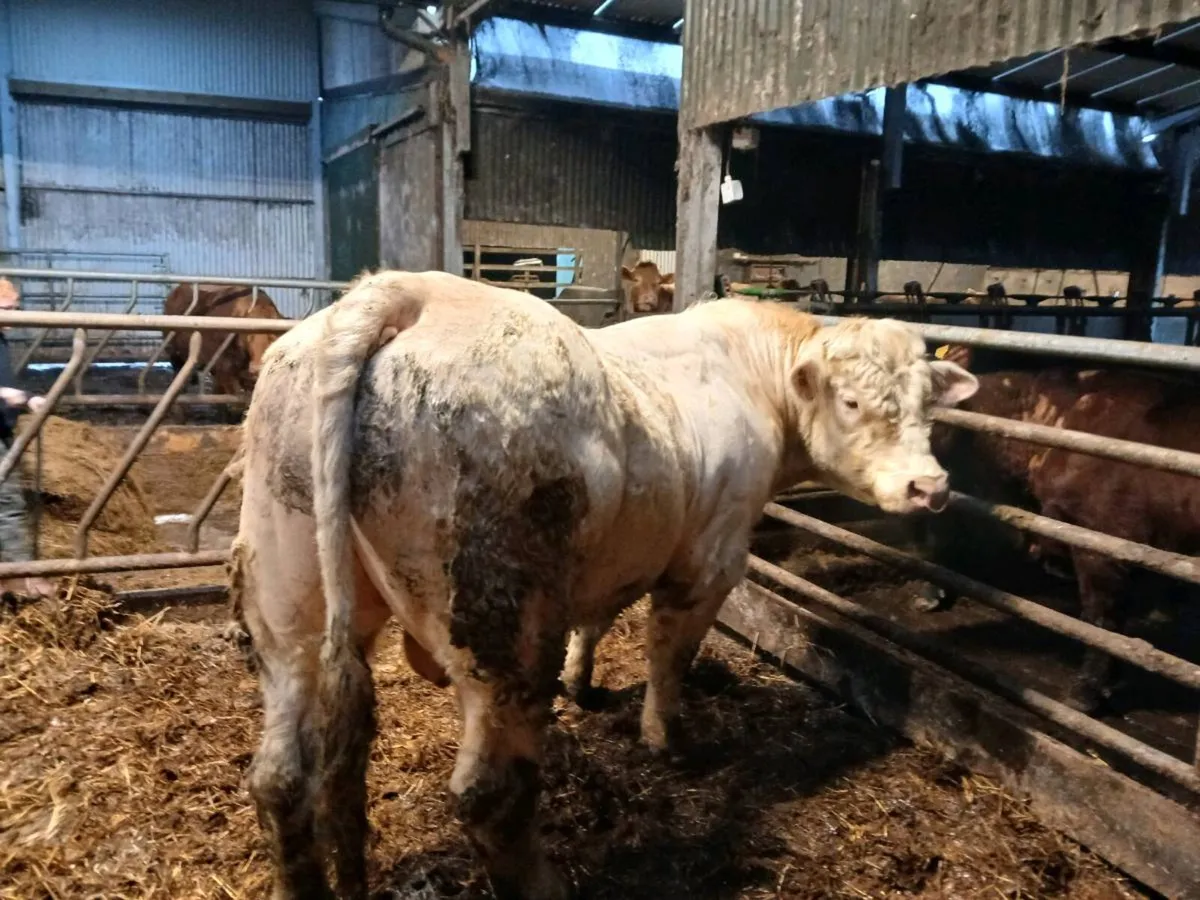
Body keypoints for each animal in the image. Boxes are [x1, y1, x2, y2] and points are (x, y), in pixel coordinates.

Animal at [232, 269, 978, 900]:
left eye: (927, 406)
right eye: (851, 400)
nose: (931, 486)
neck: (753, 378)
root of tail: (402, 290)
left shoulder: (618, 555)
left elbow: (598, 622)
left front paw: (582, 682)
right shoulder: (709, 561)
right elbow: (669, 656)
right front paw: (666, 738)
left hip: (288, 603)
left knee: (281, 775)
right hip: (506, 624)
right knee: (489, 793)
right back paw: (546, 884)